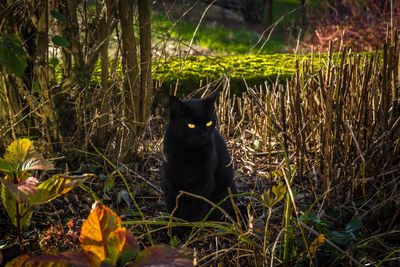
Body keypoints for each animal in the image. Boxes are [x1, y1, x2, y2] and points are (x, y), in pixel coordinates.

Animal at [162, 91, 239, 227]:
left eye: (209, 123)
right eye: (191, 125)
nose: (203, 134)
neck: (189, 152)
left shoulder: (204, 183)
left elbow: (198, 208)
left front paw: (194, 227)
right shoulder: (172, 182)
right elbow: (175, 208)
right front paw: (177, 227)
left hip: (226, 191)